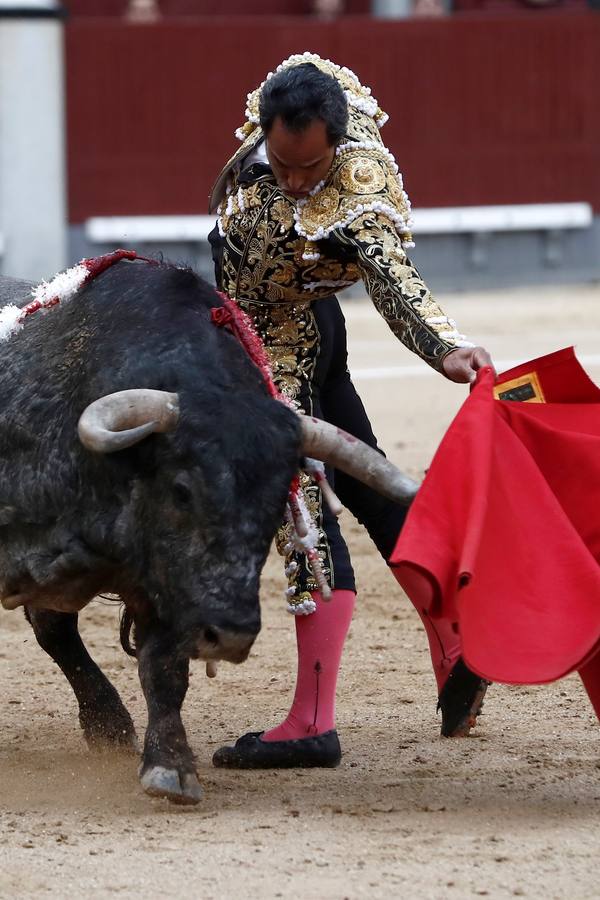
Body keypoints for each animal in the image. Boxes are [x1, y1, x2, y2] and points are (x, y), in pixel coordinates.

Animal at [0, 256, 418, 804]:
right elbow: (59, 628)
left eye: (274, 506)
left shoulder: (167, 587)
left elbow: (162, 668)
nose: (231, 635)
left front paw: (168, 766)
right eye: (181, 490)